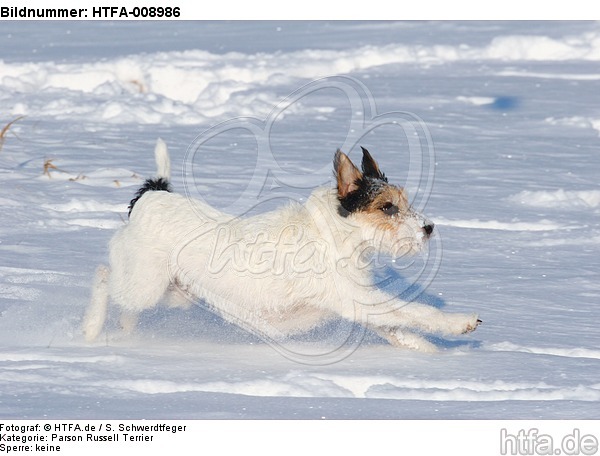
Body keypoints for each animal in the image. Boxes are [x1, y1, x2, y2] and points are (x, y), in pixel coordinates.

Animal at [82, 140, 480, 352]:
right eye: (387, 207)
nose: (428, 228)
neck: (335, 234)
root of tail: (152, 195)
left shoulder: (359, 305)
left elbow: (401, 330)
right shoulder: (359, 299)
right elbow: (417, 312)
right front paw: (459, 323)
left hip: (174, 292)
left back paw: (126, 330)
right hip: (143, 285)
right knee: (102, 275)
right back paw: (90, 330)